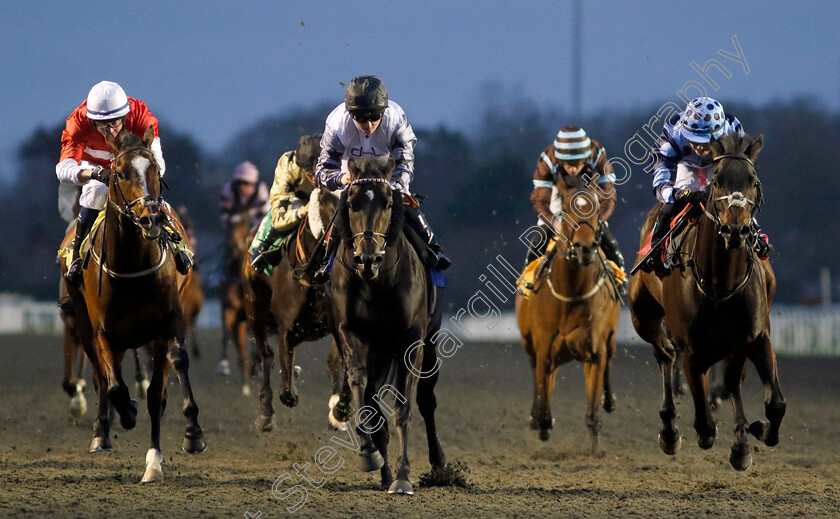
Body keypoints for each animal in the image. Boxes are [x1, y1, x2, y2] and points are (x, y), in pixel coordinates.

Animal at [61, 129, 207, 484]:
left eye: (155, 171)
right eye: (121, 173)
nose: (151, 218)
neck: (131, 266)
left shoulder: (167, 324)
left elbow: (159, 391)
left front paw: (161, 457)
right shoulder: (102, 332)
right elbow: (114, 386)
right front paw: (125, 412)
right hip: (85, 326)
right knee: (102, 378)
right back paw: (102, 432)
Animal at [243, 189, 352, 432]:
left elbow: (336, 362)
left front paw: (337, 411)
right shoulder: (286, 328)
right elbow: (287, 393)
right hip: (254, 310)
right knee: (265, 356)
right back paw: (266, 413)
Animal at [330, 156, 450, 498]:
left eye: (387, 201)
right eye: (352, 203)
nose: (367, 258)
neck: (377, 282)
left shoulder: (411, 339)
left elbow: (404, 407)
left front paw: (403, 476)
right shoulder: (352, 333)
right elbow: (359, 386)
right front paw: (369, 455)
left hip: (430, 344)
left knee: (426, 399)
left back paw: (438, 464)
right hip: (379, 352)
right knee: (372, 398)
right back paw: (382, 465)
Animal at [516, 185, 620, 452]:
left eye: (594, 207)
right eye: (566, 207)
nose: (584, 246)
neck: (571, 294)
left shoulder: (595, 352)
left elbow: (592, 412)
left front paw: (595, 450)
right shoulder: (544, 347)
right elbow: (543, 393)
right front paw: (541, 422)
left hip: (609, 340)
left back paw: (609, 400)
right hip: (530, 344)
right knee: (538, 375)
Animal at [628, 134, 784, 472]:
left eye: (753, 181)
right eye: (717, 181)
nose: (736, 229)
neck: (722, 283)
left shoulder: (756, 337)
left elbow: (775, 403)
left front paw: (756, 431)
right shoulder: (692, 348)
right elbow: (704, 424)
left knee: (732, 382)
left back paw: (741, 442)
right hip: (643, 317)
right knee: (664, 354)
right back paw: (669, 431)